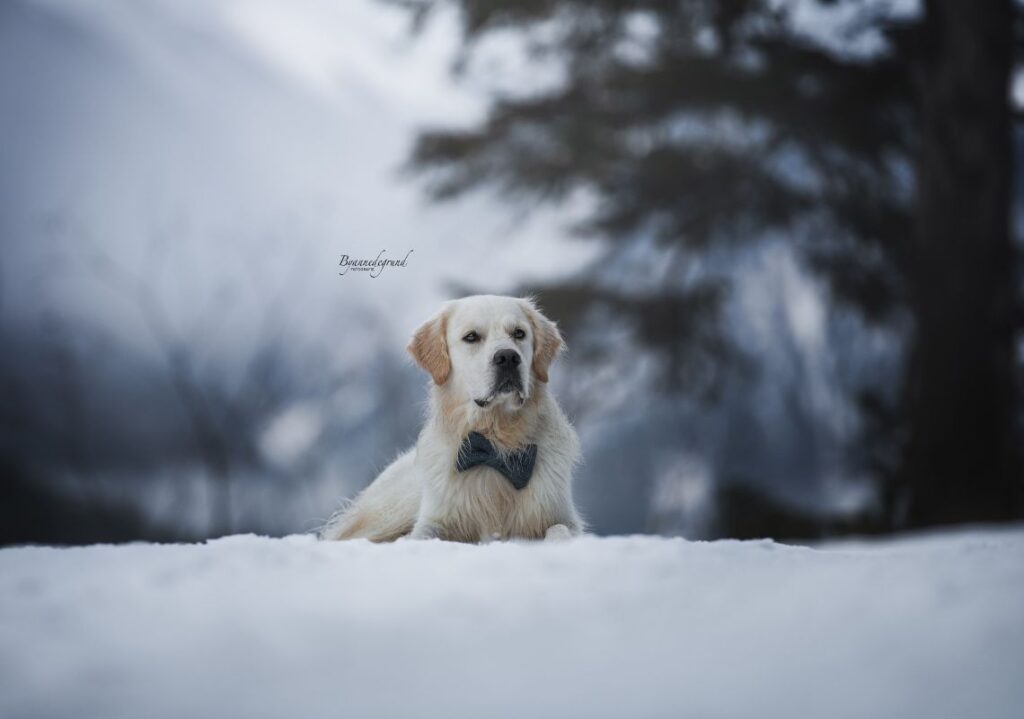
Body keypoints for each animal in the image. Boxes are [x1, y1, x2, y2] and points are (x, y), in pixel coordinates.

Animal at [323, 294, 589, 544]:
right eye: (471, 337)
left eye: (519, 333)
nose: (508, 357)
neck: (496, 441)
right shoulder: (433, 521)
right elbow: (421, 536)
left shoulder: (562, 516)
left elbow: (560, 530)